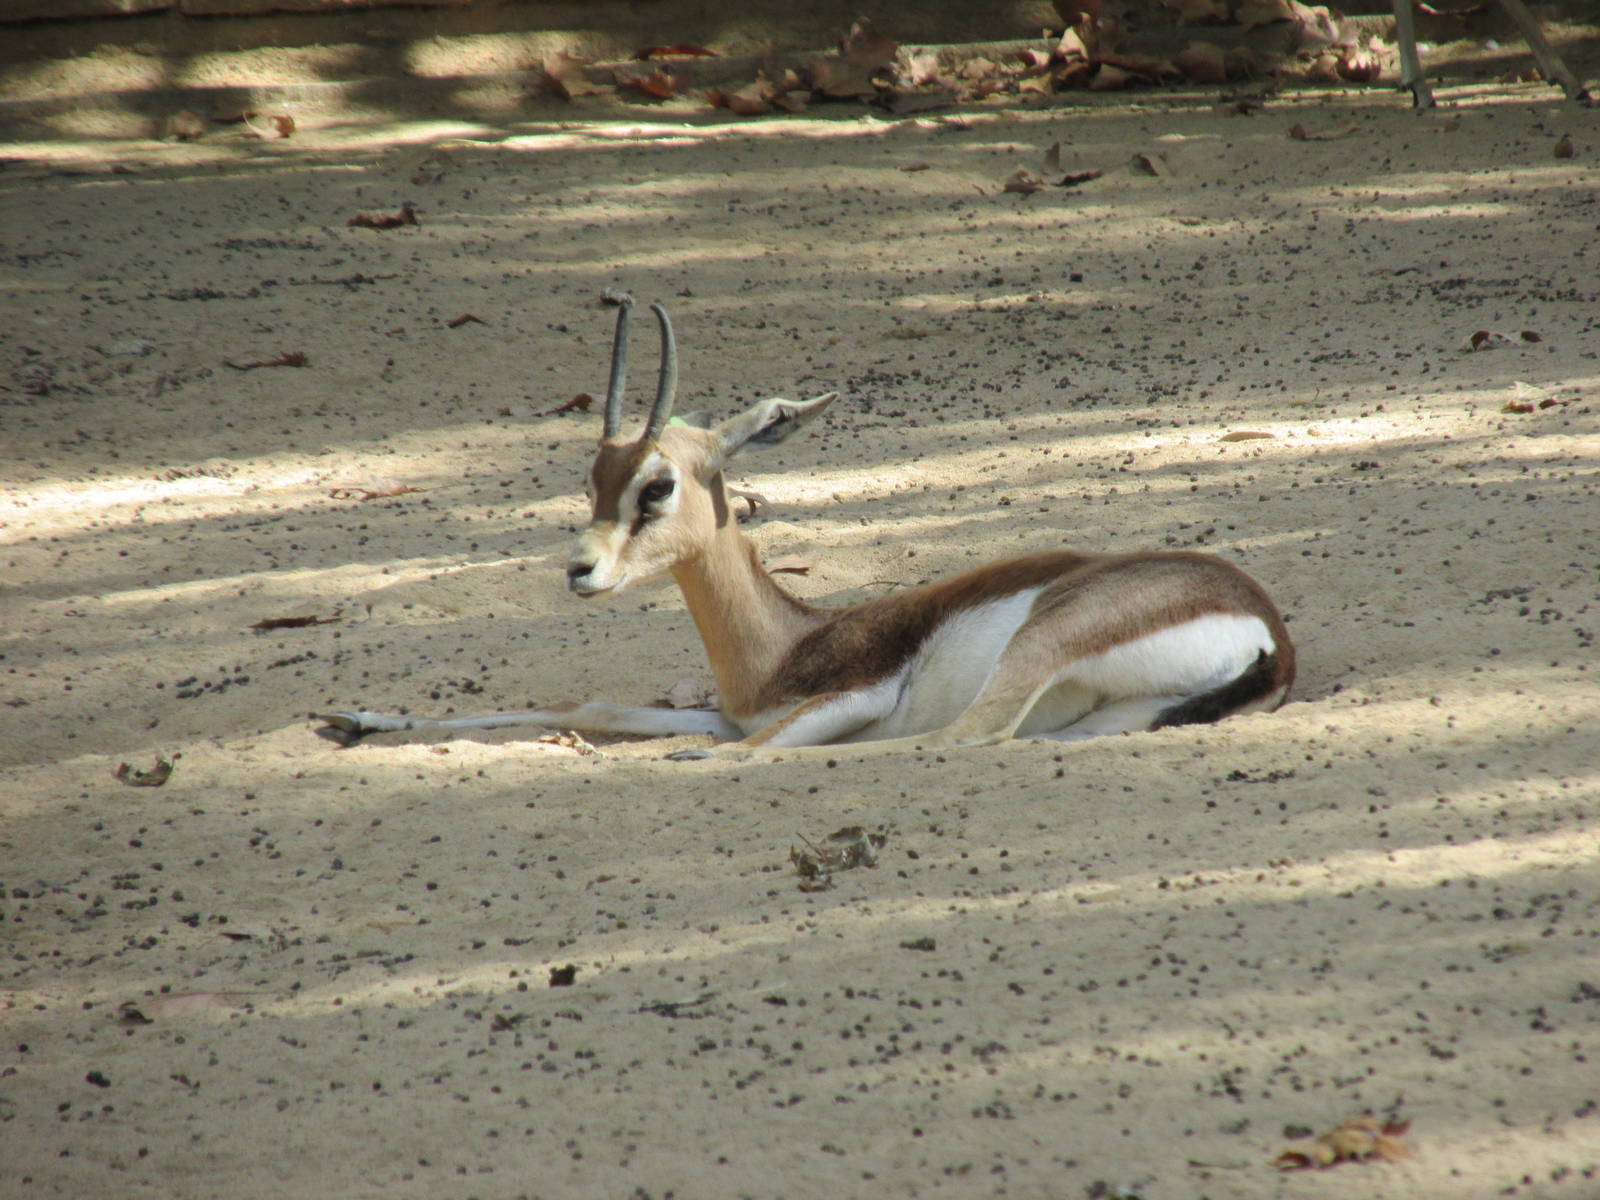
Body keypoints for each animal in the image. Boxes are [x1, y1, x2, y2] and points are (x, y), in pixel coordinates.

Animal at [317, 297, 1295, 760]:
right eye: (593, 479)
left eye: (658, 486)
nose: (580, 571)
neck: (785, 643)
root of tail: (1268, 630)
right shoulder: (726, 711)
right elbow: (586, 704)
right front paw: (358, 717)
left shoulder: (845, 701)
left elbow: (730, 748)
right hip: (1105, 719)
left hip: (1042, 643)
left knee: (952, 739)